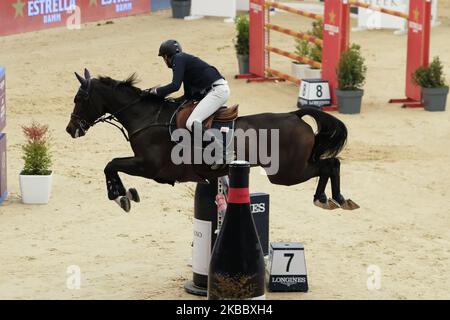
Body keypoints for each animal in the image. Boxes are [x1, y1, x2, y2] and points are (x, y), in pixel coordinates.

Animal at [65, 69, 358, 211]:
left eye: (79, 99)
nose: (70, 129)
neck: (146, 116)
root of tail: (295, 115)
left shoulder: (149, 166)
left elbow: (111, 164)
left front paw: (120, 196)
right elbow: (111, 165)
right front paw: (124, 194)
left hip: (286, 173)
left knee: (329, 165)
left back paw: (330, 198)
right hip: (290, 170)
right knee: (331, 164)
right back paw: (332, 198)